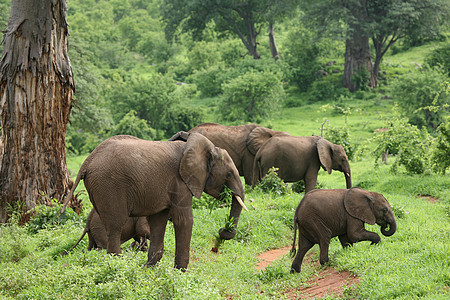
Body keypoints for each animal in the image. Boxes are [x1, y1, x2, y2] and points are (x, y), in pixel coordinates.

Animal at [60, 133, 246, 270]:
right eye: (229, 174)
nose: (222, 231)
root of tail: (87, 161)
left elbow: (158, 221)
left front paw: (148, 268)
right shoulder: (180, 182)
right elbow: (183, 220)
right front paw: (180, 273)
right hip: (109, 185)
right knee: (115, 227)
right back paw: (117, 266)